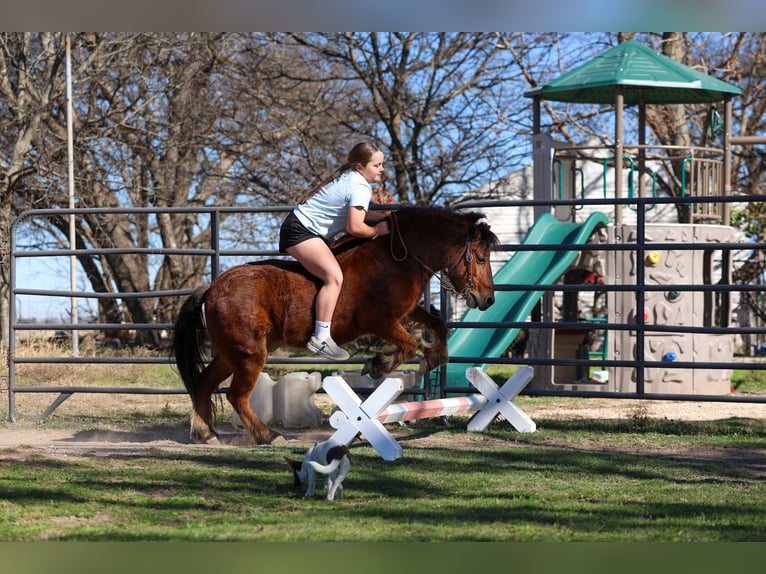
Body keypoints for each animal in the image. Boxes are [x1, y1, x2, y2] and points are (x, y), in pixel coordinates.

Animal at [171, 206, 499, 445]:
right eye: (480, 259)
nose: (488, 299)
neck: (399, 258)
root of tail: (211, 288)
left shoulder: (405, 313)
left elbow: (437, 326)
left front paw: (432, 357)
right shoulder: (380, 321)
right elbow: (408, 345)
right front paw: (378, 364)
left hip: (231, 354)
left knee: (204, 383)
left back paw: (206, 433)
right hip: (250, 355)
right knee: (236, 395)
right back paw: (269, 435)